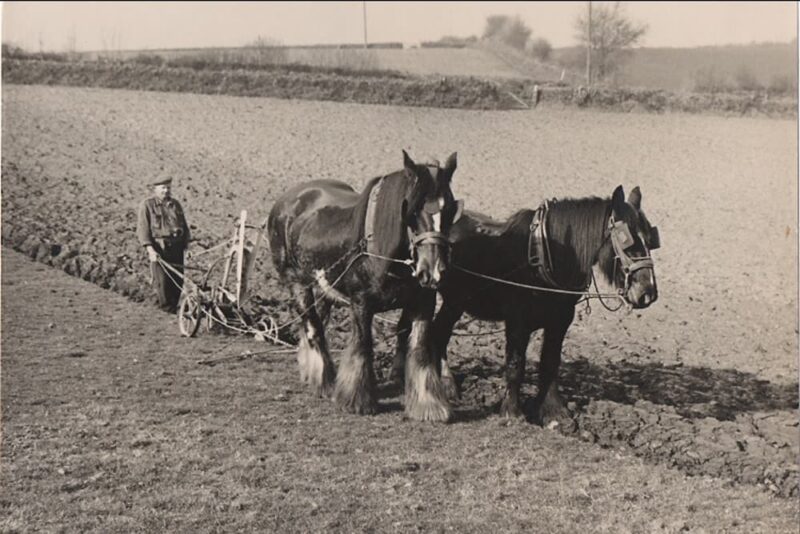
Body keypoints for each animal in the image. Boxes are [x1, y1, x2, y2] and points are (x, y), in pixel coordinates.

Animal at [268, 150, 462, 422]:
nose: (433, 270)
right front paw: (356, 400)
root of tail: (287, 200)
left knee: (318, 322)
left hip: (325, 288)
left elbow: (420, 348)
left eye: (450, 210)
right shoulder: (361, 304)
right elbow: (363, 345)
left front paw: (428, 404)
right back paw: (324, 381)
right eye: (412, 211)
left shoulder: (423, 302)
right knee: (312, 326)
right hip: (297, 283)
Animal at [391, 185, 660, 428]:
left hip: (456, 301)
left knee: (440, 333)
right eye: (628, 241)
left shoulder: (560, 321)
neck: (542, 257)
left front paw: (553, 412)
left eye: (651, 240)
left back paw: (446, 383)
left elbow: (550, 362)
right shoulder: (517, 321)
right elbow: (515, 365)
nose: (648, 293)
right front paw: (512, 411)